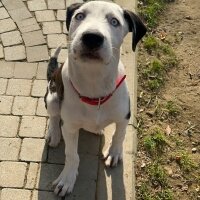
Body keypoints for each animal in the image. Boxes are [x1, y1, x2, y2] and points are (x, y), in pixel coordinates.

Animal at [44, 0, 146, 197]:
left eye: (114, 22)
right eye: (80, 16)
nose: (92, 37)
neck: (94, 82)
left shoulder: (124, 116)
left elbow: (119, 135)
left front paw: (114, 153)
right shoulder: (69, 127)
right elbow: (72, 155)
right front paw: (67, 179)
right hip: (52, 97)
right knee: (54, 116)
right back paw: (54, 133)